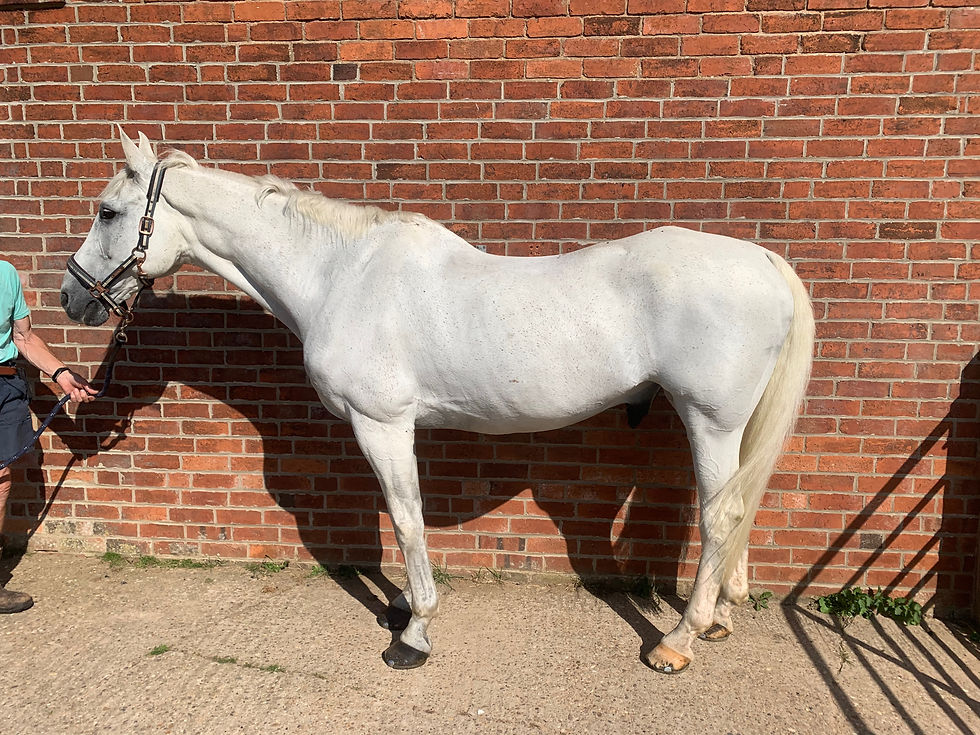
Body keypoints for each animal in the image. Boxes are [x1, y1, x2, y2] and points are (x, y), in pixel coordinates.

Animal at [60, 131, 814, 674]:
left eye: (107, 211)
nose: (72, 298)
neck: (341, 274)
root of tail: (762, 262)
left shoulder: (384, 425)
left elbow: (405, 519)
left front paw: (414, 630)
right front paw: (401, 607)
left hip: (710, 421)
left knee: (722, 516)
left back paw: (677, 641)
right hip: (729, 427)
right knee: (733, 513)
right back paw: (717, 619)